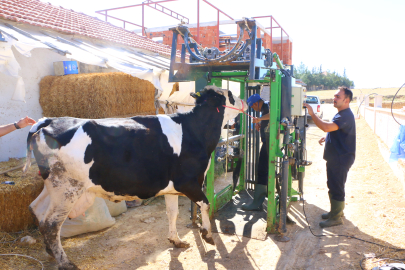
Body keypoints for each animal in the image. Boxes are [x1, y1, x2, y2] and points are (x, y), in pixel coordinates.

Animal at [23, 85, 245, 268]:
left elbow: (172, 213)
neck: (194, 131)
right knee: (51, 224)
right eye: (230, 94)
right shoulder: (188, 182)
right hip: (68, 188)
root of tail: (48, 121)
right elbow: (205, 204)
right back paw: (65, 262)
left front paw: (176, 240)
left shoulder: (172, 188)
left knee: (37, 210)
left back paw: (50, 252)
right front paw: (207, 235)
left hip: (53, 186)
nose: (244, 100)